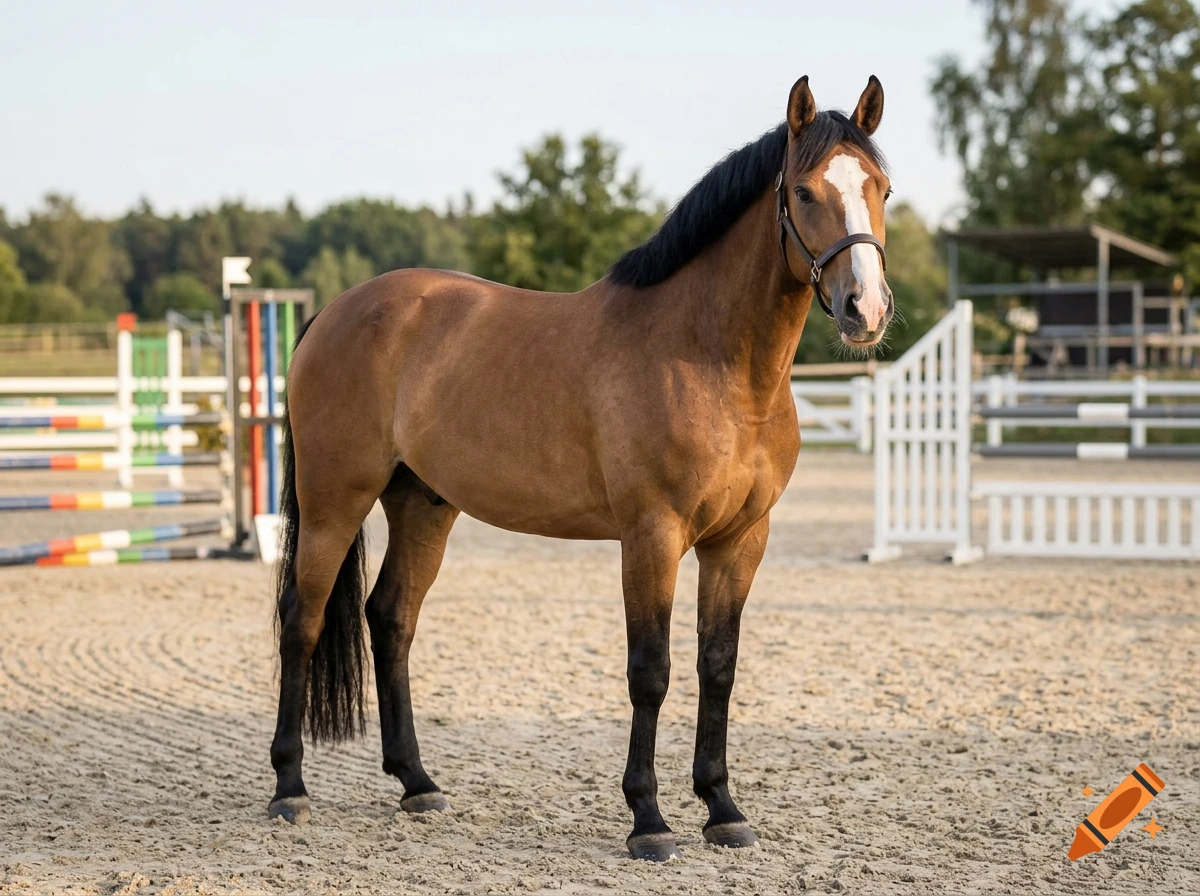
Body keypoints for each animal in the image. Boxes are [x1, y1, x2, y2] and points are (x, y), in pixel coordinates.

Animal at [268, 74, 893, 862]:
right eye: (806, 192)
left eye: (882, 188)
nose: (865, 309)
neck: (711, 358)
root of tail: (335, 312)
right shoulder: (652, 535)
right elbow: (650, 671)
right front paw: (649, 820)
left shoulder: (741, 539)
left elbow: (717, 666)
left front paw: (722, 809)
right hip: (334, 501)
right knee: (303, 617)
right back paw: (289, 788)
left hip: (423, 504)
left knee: (391, 618)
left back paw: (418, 783)